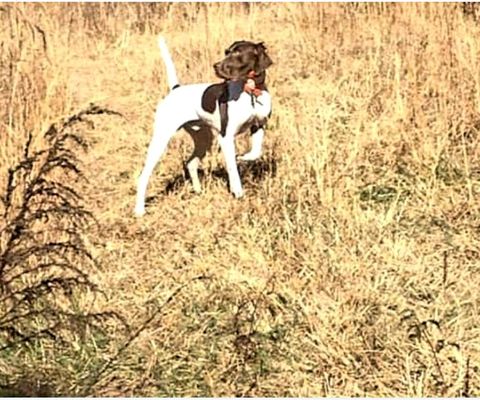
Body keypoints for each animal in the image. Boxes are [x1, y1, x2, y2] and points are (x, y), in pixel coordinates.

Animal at [133, 35, 272, 216]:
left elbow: (255, 152)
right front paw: (238, 191)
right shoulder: (225, 138)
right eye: (226, 52)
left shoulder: (258, 126)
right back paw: (139, 210)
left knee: (191, 163)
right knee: (143, 176)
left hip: (203, 138)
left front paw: (243, 157)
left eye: (238, 53)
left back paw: (198, 191)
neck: (250, 93)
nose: (216, 66)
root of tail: (175, 90)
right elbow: (232, 168)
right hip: (161, 139)